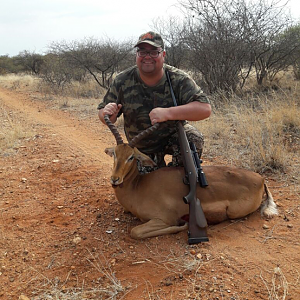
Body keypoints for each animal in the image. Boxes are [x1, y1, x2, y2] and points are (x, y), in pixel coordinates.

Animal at [103, 115, 278, 239]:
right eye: (115, 154)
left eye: (131, 157)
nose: (115, 179)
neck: (138, 187)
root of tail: (260, 179)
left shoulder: (164, 219)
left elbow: (135, 232)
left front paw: (183, 226)